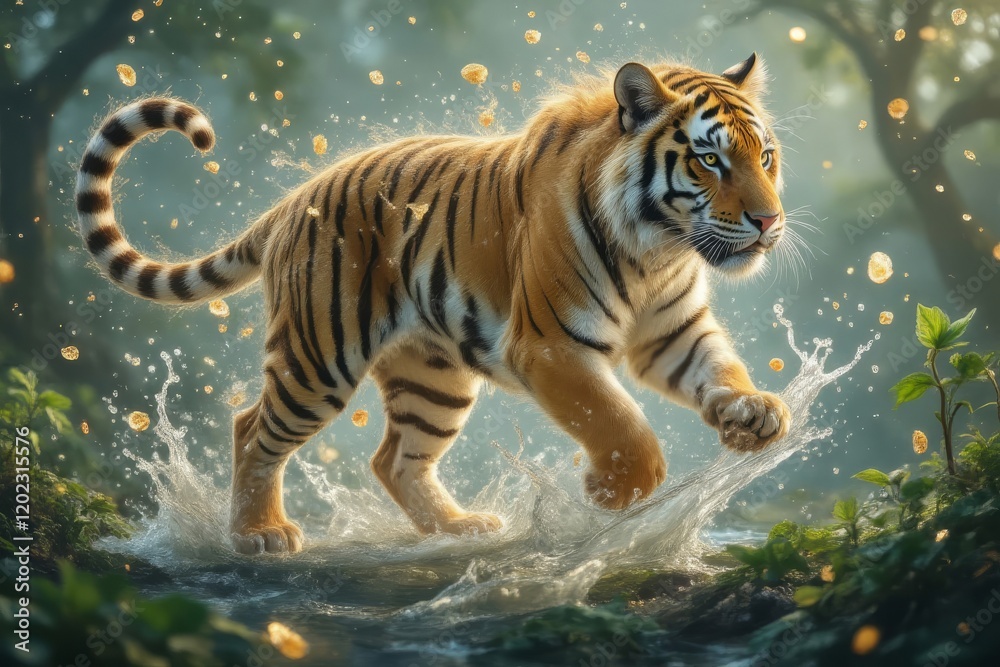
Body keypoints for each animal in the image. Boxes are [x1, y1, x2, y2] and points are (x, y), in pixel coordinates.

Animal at [75, 53, 791, 554]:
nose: (768, 222)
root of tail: (295, 196)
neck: (660, 249)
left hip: (434, 374)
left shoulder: (674, 332)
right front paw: (608, 491)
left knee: (395, 460)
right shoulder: (551, 346)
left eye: (765, 156)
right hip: (319, 356)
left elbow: (719, 370)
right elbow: (620, 423)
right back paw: (260, 534)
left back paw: (458, 528)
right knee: (252, 427)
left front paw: (754, 413)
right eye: (709, 160)